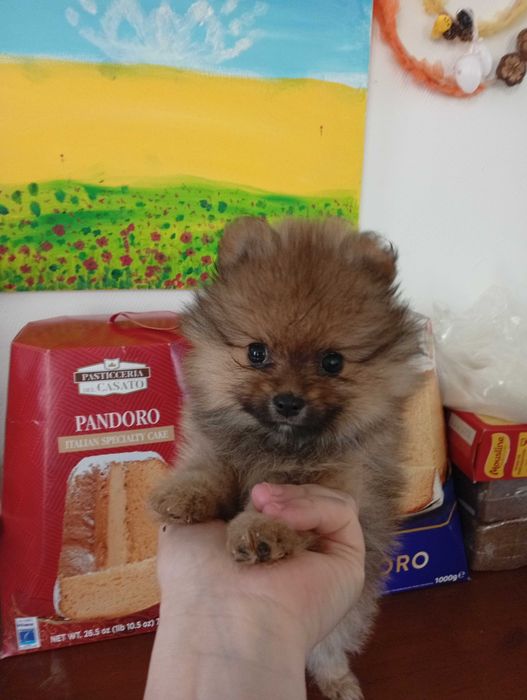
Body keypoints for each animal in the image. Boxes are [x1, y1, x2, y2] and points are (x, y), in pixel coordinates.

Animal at [151, 216, 421, 699]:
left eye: (332, 362)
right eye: (257, 353)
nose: (289, 402)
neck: (277, 445)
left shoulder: (335, 482)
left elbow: (287, 507)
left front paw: (263, 532)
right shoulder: (213, 446)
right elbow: (205, 470)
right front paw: (184, 496)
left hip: (349, 611)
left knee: (329, 649)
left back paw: (338, 681)